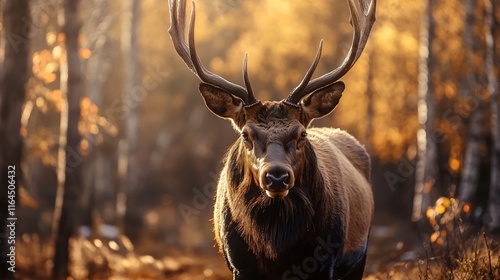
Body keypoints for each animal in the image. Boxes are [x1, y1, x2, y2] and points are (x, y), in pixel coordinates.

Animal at [168, 0, 376, 278]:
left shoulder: (326, 260)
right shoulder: (238, 264)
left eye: (302, 134)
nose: (277, 176)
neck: (276, 248)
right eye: (246, 134)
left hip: (360, 253)